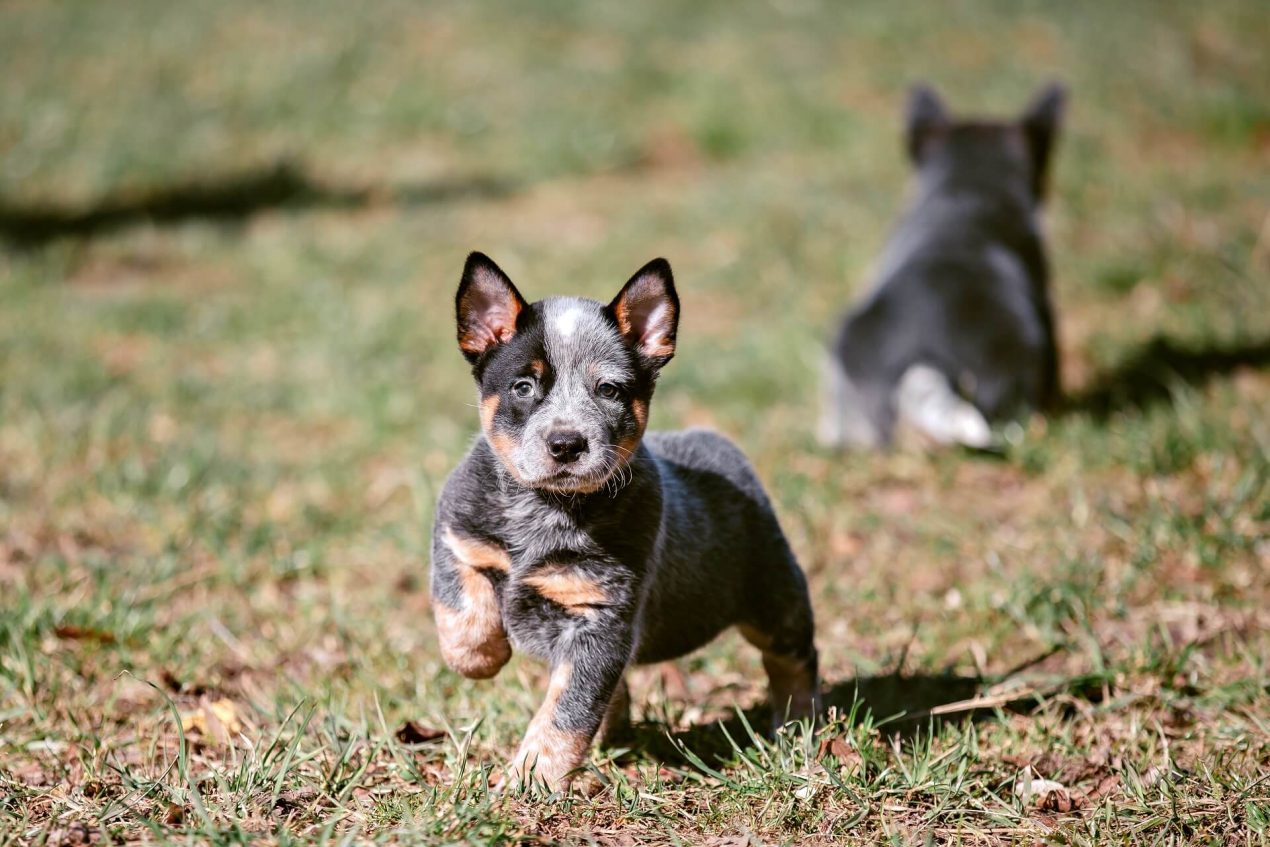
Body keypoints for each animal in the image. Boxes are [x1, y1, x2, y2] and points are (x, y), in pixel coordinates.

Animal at [431, 250, 817, 787]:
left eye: (609, 390)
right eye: (524, 386)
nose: (566, 443)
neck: (545, 510)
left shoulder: (602, 620)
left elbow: (567, 711)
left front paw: (532, 777)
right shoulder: (457, 533)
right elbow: (460, 608)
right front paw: (482, 656)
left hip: (774, 601)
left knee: (795, 659)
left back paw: (798, 725)